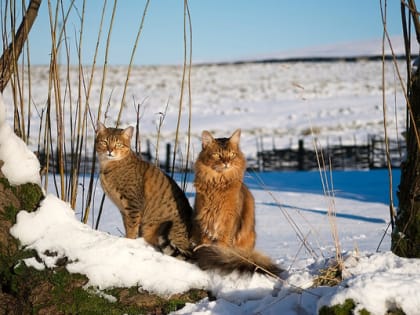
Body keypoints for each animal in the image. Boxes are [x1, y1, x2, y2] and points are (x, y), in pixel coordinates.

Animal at [95, 123, 194, 260]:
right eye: (105, 142)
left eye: (118, 144)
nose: (110, 151)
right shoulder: (123, 210)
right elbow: (127, 226)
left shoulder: (133, 204)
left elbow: (131, 228)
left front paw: (129, 241)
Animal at [194, 130, 282, 276]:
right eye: (217, 154)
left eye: (231, 154)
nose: (226, 163)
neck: (219, 184)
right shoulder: (205, 224)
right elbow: (205, 247)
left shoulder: (227, 225)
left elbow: (221, 249)